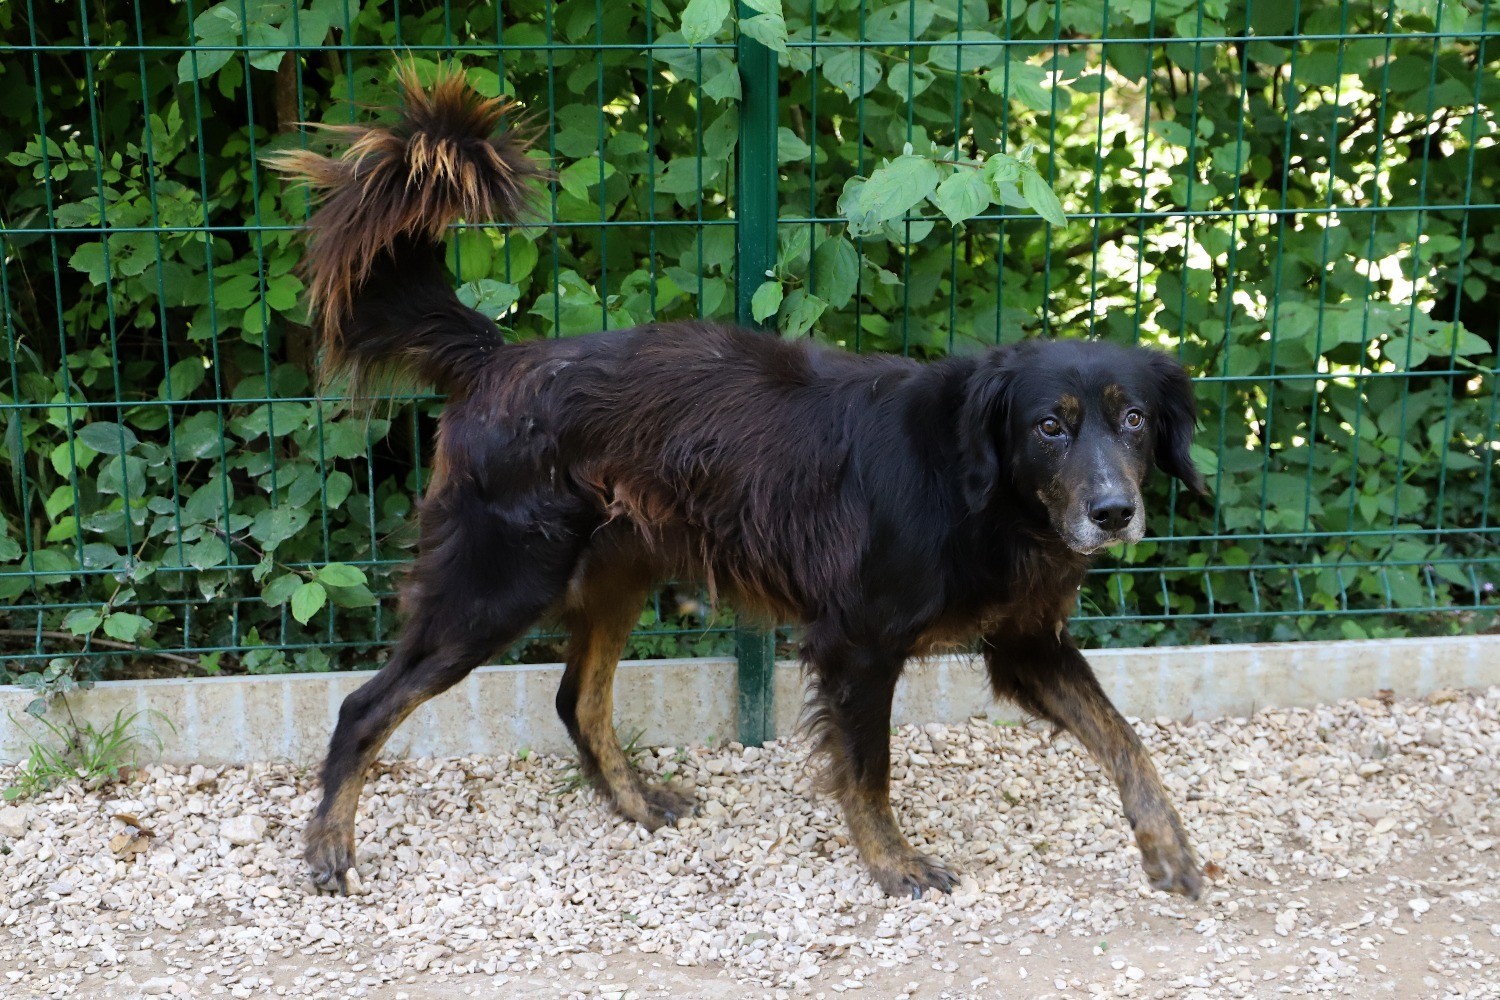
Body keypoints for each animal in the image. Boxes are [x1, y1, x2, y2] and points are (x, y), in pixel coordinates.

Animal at [267, 66, 1206, 905]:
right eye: (1049, 426)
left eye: (1134, 421)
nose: (1114, 513)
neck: (985, 496)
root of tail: (498, 359)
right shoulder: (858, 641)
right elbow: (870, 773)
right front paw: (893, 863)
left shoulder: (1026, 644)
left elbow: (1126, 738)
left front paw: (1169, 849)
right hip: (497, 586)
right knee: (364, 706)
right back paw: (330, 848)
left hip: (618, 571)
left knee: (577, 701)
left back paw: (637, 803)